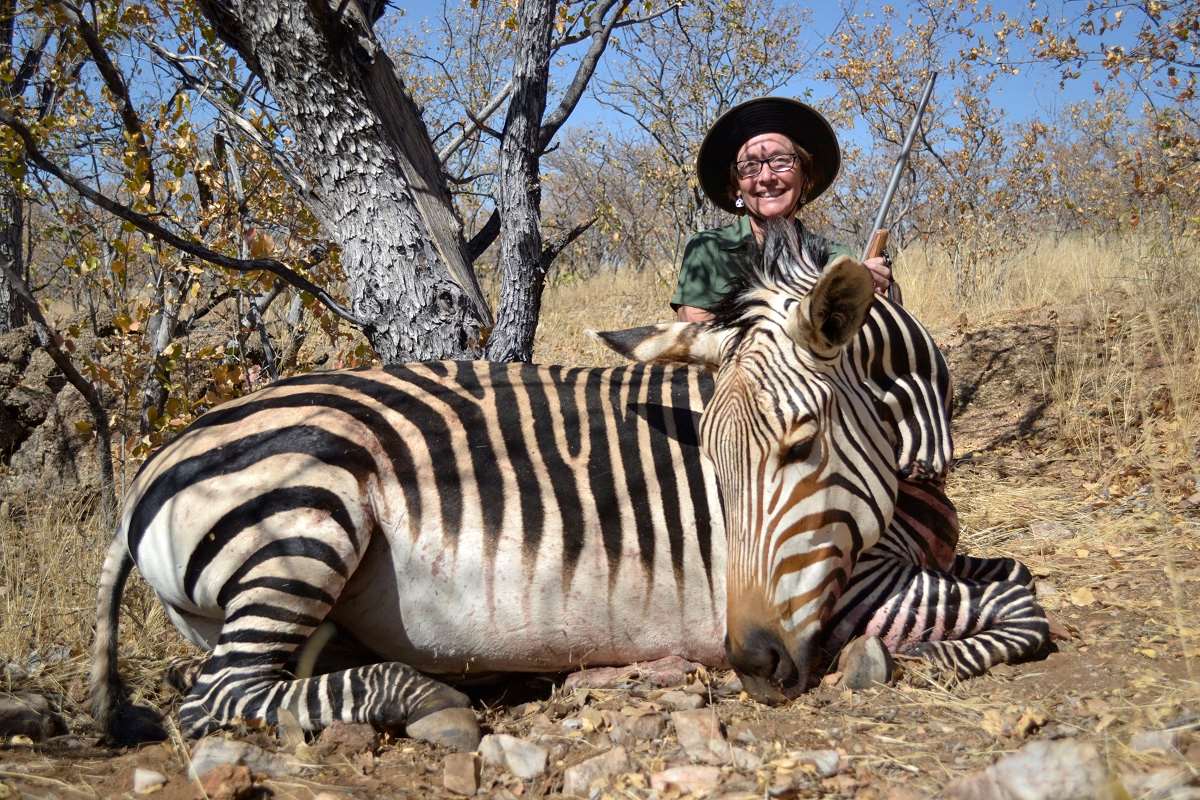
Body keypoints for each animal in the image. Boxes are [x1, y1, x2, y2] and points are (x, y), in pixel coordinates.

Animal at [91, 220, 1048, 748]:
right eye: (712, 466)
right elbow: (1022, 604)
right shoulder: (851, 590)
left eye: (801, 445)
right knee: (219, 697)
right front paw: (905, 660)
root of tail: (155, 463)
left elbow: (1012, 576)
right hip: (308, 512)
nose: (753, 662)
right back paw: (430, 700)